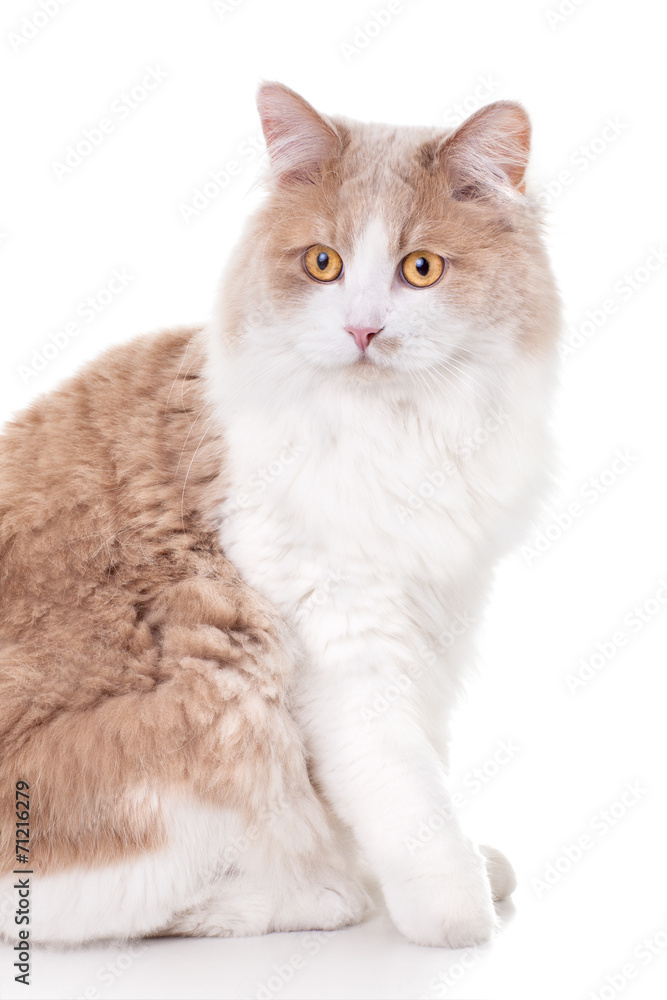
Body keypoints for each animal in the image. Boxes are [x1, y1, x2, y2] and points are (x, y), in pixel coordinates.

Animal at [0, 82, 560, 948]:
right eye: (322, 264)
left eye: (421, 270)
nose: (362, 329)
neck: (395, 428)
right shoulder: (341, 631)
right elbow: (402, 789)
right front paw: (454, 915)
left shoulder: (436, 614)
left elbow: (405, 769)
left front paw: (465, 866)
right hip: (199, 711)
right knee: (91, 908)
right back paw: (314, 897)